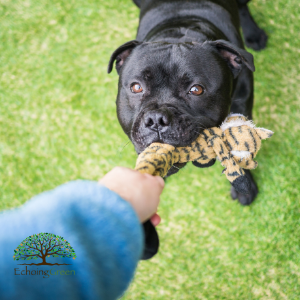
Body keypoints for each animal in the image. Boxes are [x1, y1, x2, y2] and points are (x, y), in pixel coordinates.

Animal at [108, 0, 268, 258]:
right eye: (136, 87)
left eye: (196, 90)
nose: (156, 119)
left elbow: (238, 147)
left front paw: (244, 185)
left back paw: (254, 34)